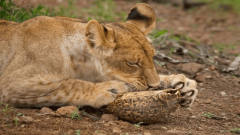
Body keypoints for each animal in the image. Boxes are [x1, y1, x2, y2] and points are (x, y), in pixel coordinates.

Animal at [0, 3, 197, 108]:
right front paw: (109, 89)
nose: (154, 86)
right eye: (132, 63)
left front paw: (183, 85)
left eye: (152, 57)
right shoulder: (11, 83)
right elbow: (69, 84)